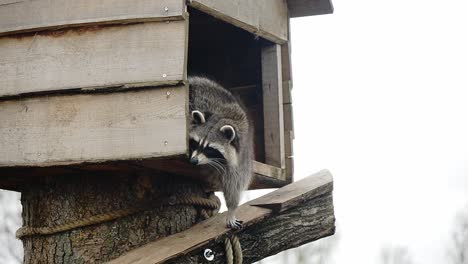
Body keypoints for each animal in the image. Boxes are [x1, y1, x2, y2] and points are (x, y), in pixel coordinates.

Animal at [187, 76, 254, 229]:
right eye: (196, 143)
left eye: (209, 148)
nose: (193, 161)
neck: (221, 117)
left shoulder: (242, 153)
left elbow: (235, 181)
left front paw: (231, 209)